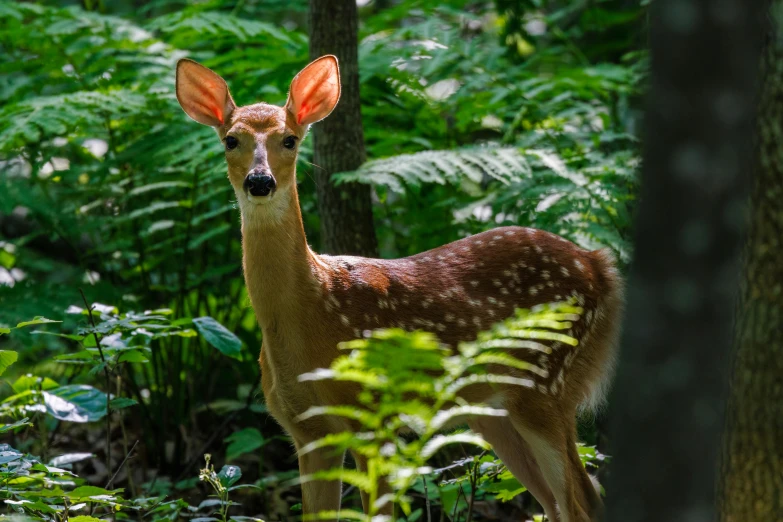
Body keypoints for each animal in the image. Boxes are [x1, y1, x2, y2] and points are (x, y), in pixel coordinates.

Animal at [176, 55, 624, 520]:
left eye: (290, 139)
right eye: (231, 140)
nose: (260, 182)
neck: (313, 308)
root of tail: (600, 265)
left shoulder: (375, 416)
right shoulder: (308, 430)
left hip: (546, 383)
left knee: (583, 500)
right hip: (494, 410)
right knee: (560, 502)